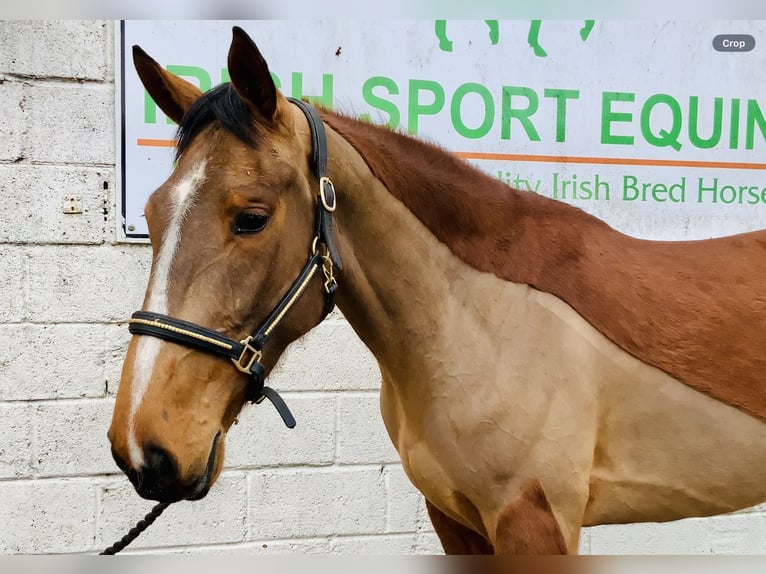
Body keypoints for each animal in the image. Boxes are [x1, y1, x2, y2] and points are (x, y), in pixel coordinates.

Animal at [107, 26, 766, 555]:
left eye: (251, 218)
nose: (144, 448)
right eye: (152, 214)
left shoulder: (536, 522)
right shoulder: (454, 517)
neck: (478, 324)